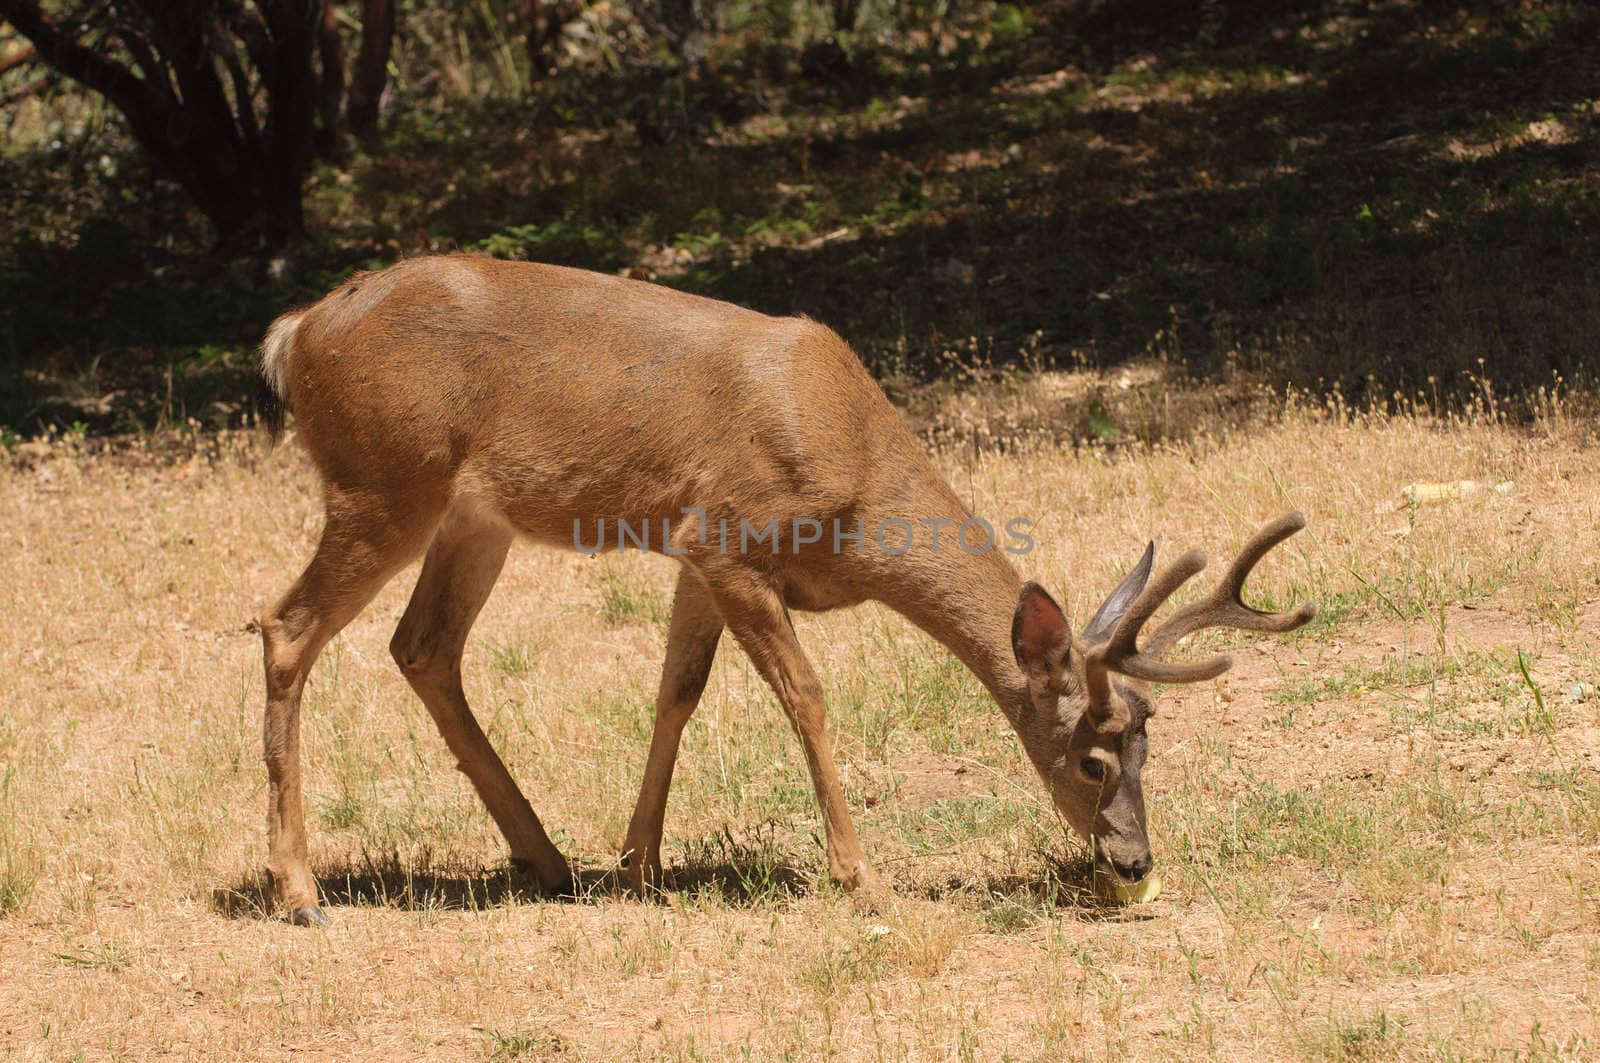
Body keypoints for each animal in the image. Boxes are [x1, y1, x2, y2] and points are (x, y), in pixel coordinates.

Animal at [259, 252, 1312, 928]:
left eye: (1148, 741)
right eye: (1091, 759)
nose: (1135, 859)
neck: (859, 496)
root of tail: (295, 332)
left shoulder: (693, 552)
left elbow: (676, 692)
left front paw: (639, 864)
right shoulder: (728, 535)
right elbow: (804, 693)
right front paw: (858, 874)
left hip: (473, 515)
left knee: (423, 645)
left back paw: (549, 859)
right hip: (383, 479)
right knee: (285, 626)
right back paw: (299, 890)